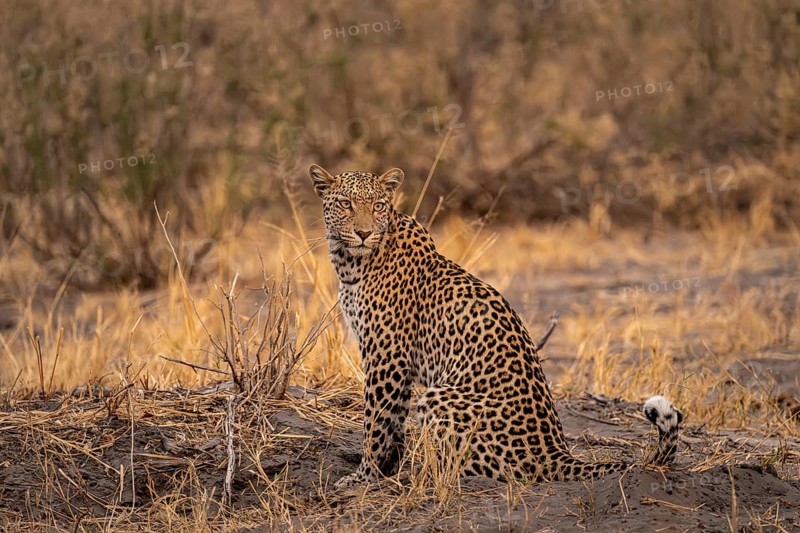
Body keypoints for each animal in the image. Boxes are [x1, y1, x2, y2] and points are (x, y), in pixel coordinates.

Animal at [308, 163, 683, 488]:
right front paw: (386, 469)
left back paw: (427, 475)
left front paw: (365, 476)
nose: (364, 232)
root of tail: (555, 452)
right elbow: (393, 423)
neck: (351, 262)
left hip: (438, 397)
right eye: (345, 203)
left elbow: (378, 422)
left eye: (378, 205)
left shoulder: (387, 357)